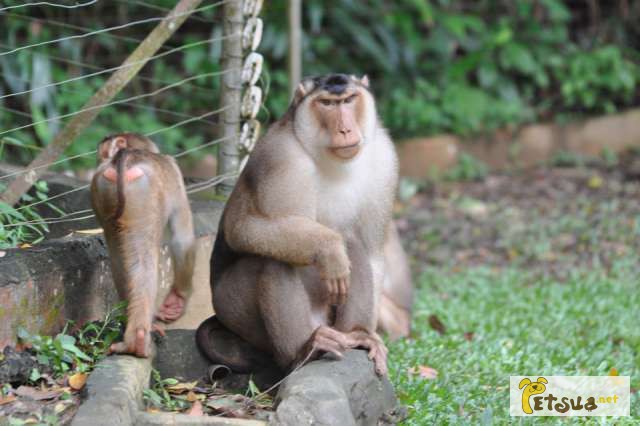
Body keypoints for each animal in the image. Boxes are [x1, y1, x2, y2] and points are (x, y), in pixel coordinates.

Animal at [89, 133, 195, 356]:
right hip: (143, 196)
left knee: (119, 258)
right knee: (144, 261)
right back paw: (137, 340)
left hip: (105, 190)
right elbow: (182, 240)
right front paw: (178, 300)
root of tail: (124, 158)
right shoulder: (175, 172)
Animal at [198, 74, 402, 376]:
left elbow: (373, 252)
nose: (345, 129)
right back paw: (304, 349)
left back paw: (355, 334)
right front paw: (329, 249)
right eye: (327, 103)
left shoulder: (384, 158)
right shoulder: (281, 158)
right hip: (232, 308)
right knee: (275, 259)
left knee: (353, 243)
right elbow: (243, 228)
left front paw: (368, 333)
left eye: (349, 100)